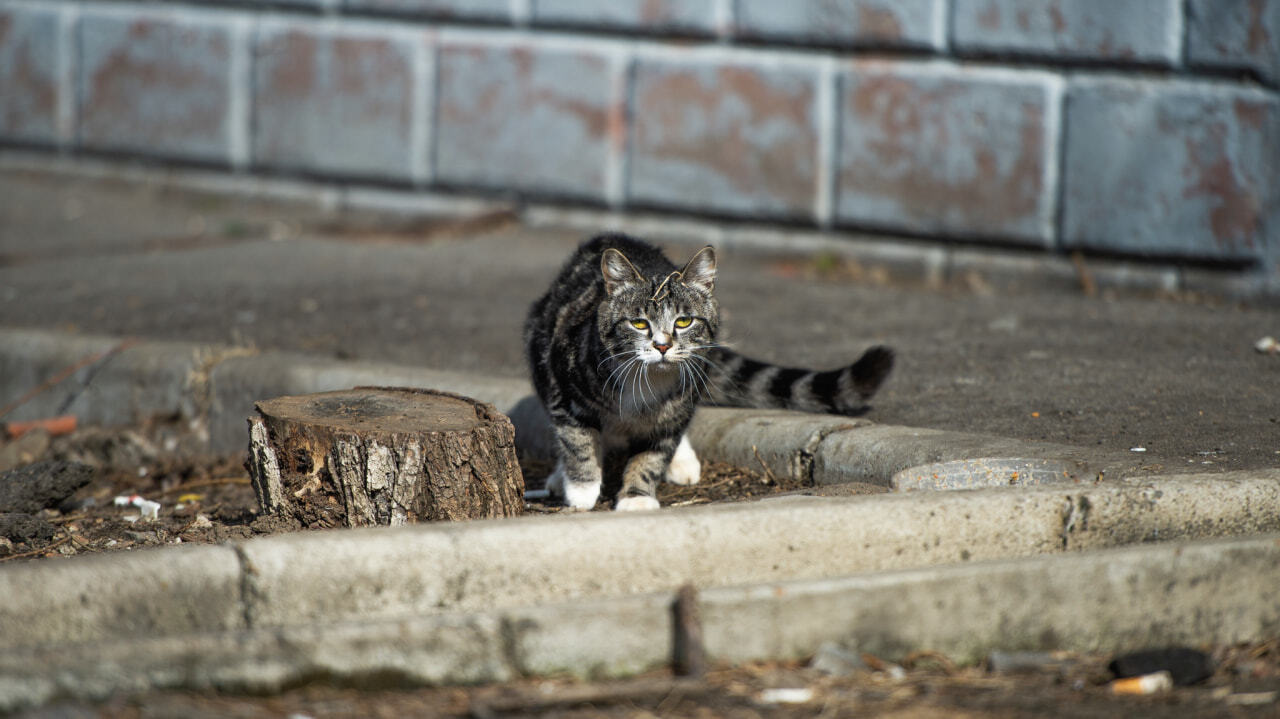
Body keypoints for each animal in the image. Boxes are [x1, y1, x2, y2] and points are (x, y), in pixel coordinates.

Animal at [524, 234, 896, 509]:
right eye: (639, 323)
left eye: (684, 321)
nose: (662, 346)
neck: (648, 381)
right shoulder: (564, 386)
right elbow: (576, 440)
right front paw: (582, 490)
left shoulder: (681, 397)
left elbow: (654, 453)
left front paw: (637, 496)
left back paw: (682, 460)